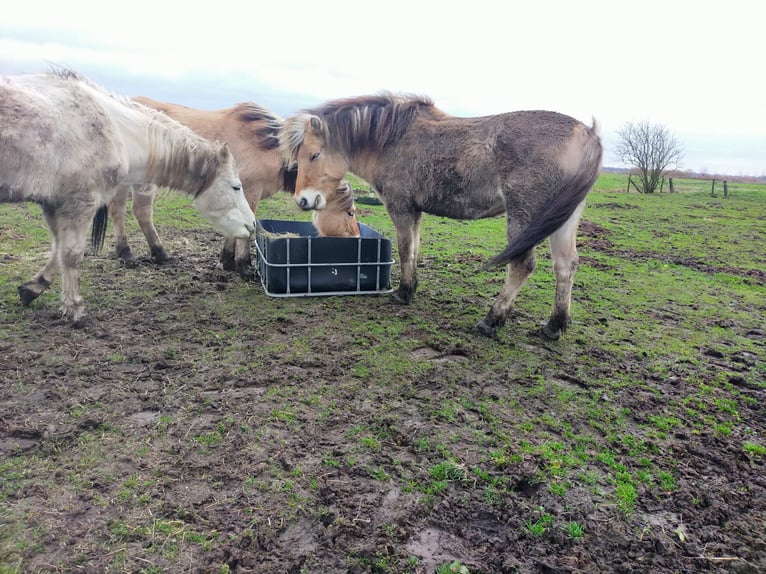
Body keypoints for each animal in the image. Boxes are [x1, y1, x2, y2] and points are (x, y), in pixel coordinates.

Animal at [0, 68, 258, 324]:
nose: (252, 225)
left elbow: (57, 250)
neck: (114, 128)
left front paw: (32, 288)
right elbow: (71, 254)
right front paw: (75, 309)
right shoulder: (79, 205)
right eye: (236, 187)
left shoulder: (54, 204)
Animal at [109, 98, 362, 276]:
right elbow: (247, 228)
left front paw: (227, 260)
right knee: (127, 211)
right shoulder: (250, 192)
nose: (357, 237)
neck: (266, 148)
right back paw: (130, 253)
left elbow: (239, 225)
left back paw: (156, 254)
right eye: (350, 213)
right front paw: (243, 264)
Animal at [280, 92, 604, 340]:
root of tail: (586, 134)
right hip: (562, 220)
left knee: (522, 265)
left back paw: (492, 320)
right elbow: (415, 248)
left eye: (314, 155)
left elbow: (405, 248)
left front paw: (403, 293)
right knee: (566, 266)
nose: (303, 200)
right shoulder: (416, 212)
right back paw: (554, 326)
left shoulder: (401, 207)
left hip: (524, 216)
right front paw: (411, 288)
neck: (391, 140)